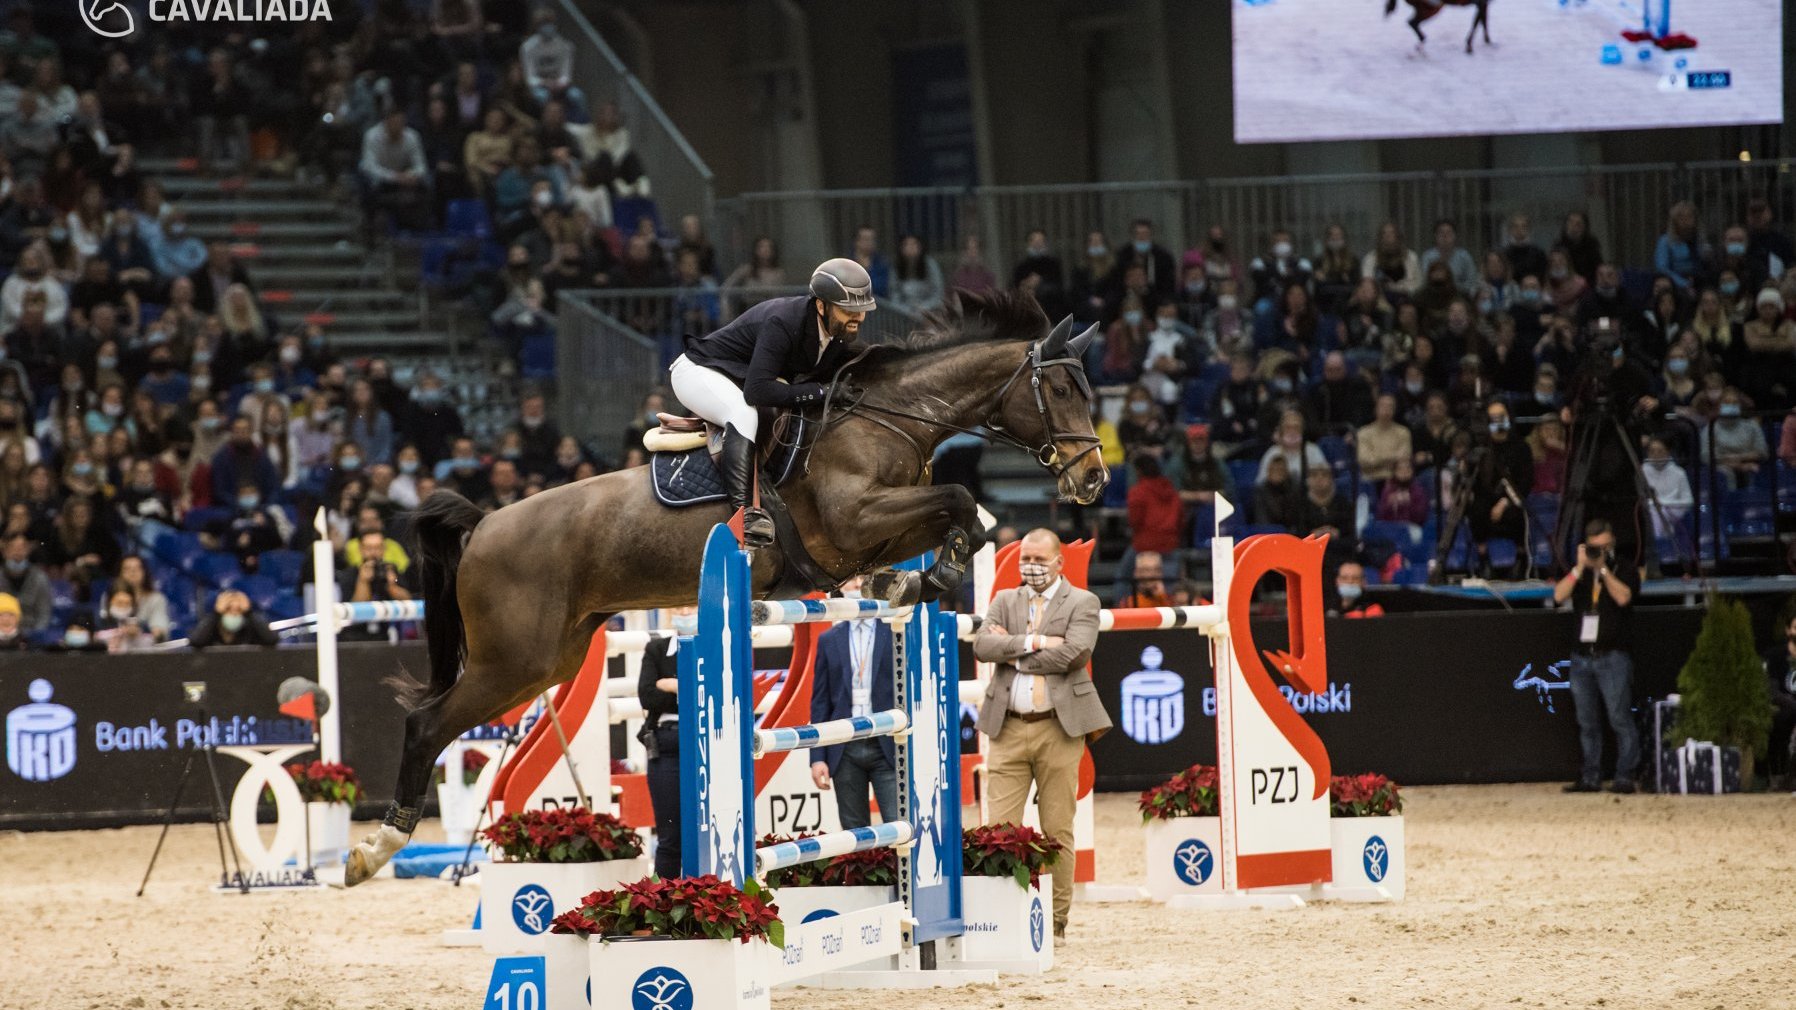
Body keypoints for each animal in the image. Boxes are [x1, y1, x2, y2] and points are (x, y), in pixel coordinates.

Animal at [343, 287, 1106, 877]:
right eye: (1060, 389)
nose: (1093, 479)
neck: (885, 418)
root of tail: (483, 525)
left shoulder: (879, 527)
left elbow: (962, 514)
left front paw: (908, 582)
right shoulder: (855, 517)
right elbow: (956, 496)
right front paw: (932, 574)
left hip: (550, 658)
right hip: (513, 661)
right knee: (425, 724)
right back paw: (374, 849)